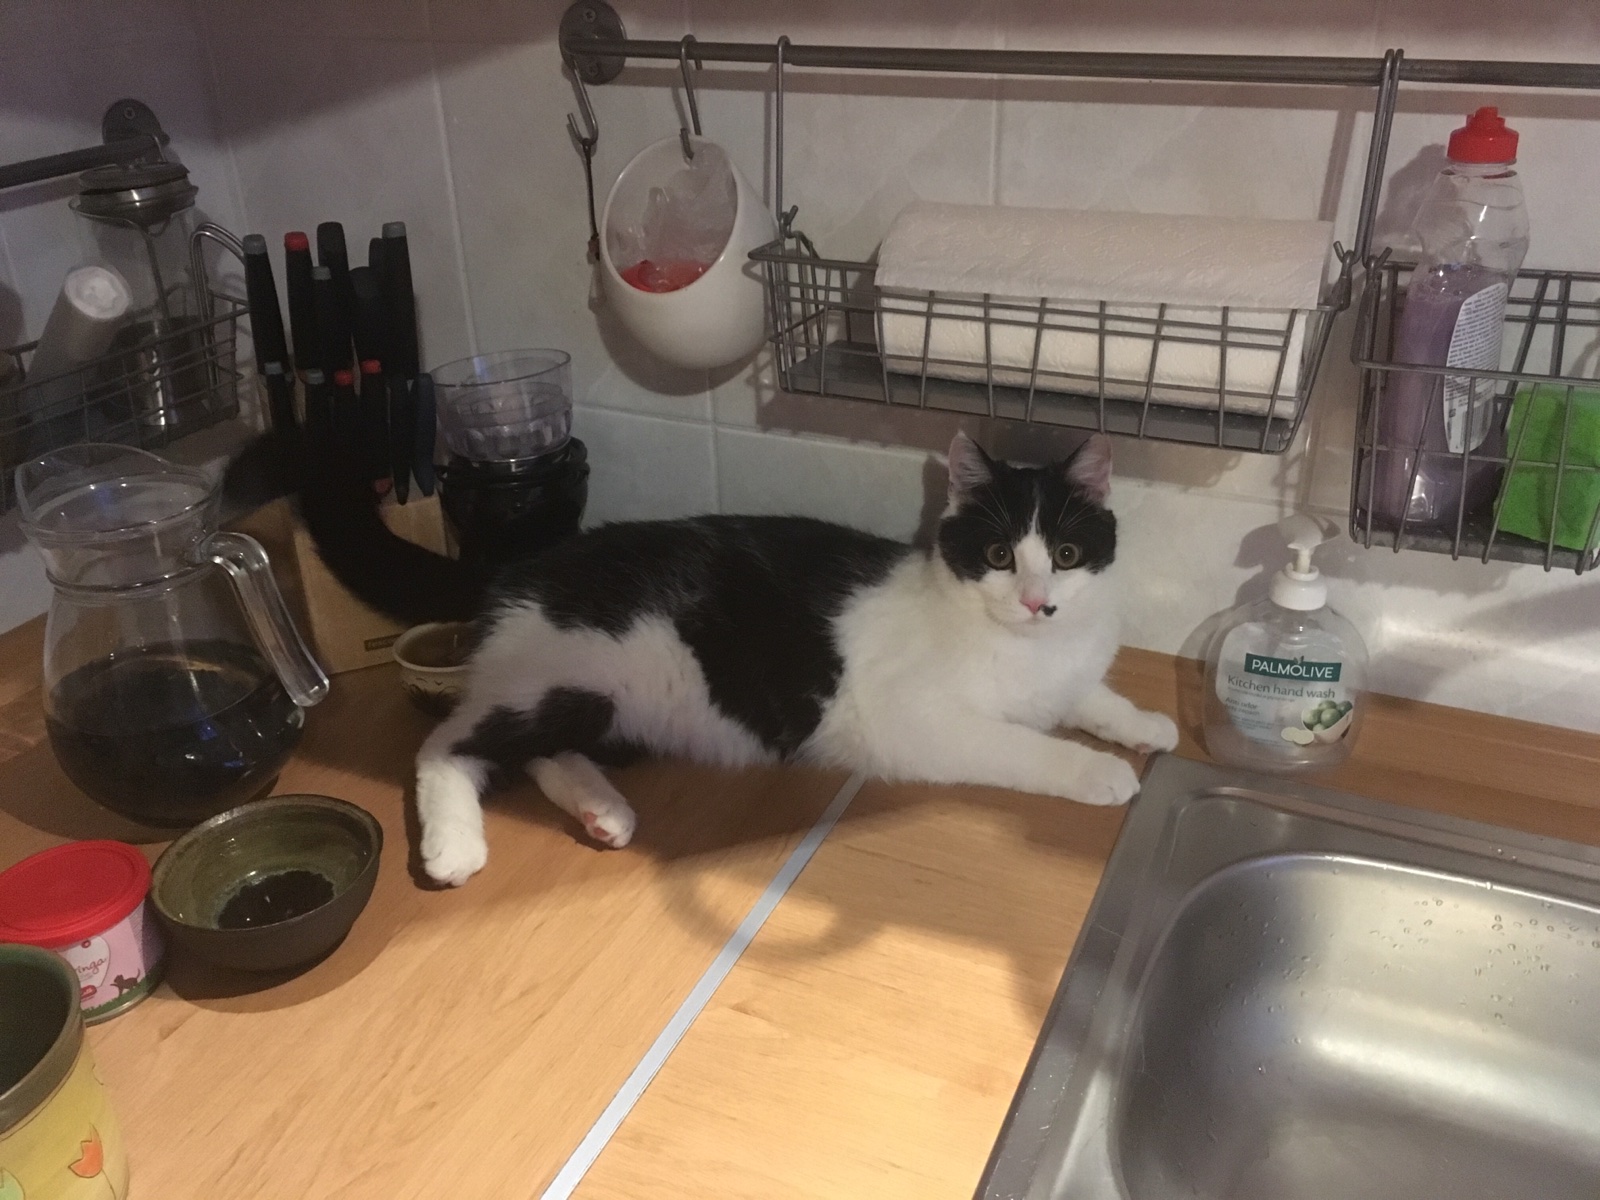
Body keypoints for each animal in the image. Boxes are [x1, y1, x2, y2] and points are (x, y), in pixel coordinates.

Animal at [295, 430, 1177, 886]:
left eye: (1066, 553)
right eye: (997, 554)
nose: (1036, 600)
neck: (1022, 645)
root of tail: (525, 564)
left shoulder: (1067, 665)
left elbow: (1088, 695)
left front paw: (1149, 724)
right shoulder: (917, 721)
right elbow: (1021, 744)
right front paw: (1098, 772)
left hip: (604, 703)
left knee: (536, 750)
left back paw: (602, 808)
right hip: (575, 674)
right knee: (449, 742)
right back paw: (455, 847)